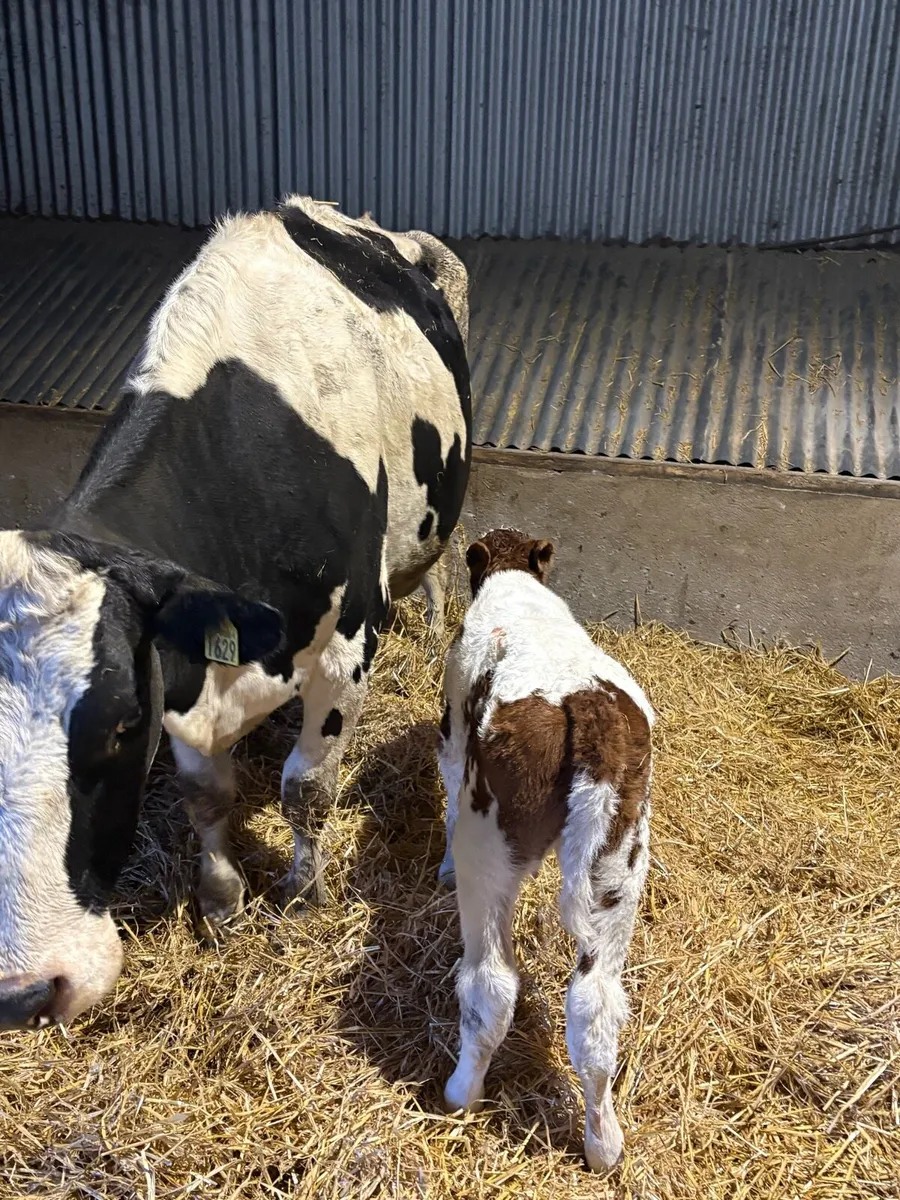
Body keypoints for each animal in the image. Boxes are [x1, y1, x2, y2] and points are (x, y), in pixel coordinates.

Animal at [0, 196, 471, 1030]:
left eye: (121, 725)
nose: (28, 990)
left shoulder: (348, 643)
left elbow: (306, 789)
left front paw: (304, 896)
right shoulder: (183, 671)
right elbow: (205, 796)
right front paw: (222, 903)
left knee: (441, 559)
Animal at [437, 529, 653, 1173]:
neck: (517, 584)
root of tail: (588, 711)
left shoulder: (453, 723)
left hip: (489, 842)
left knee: (491, 983)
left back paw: (460, 1093)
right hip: (619, 862)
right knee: (595, 1005)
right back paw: (603, 1145)